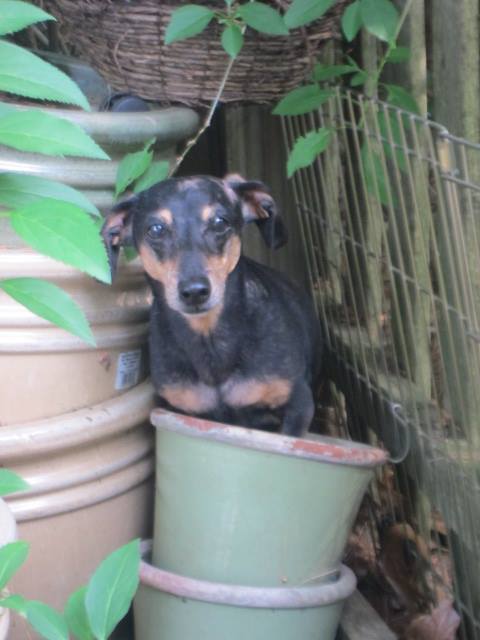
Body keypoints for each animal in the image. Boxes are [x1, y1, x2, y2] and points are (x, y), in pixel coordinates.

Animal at [101, 175, 321, 436]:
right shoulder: (181, 409)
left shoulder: (298, 405)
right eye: (155, 229)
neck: (209, 340)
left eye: (219, 221)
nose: (194, 292)